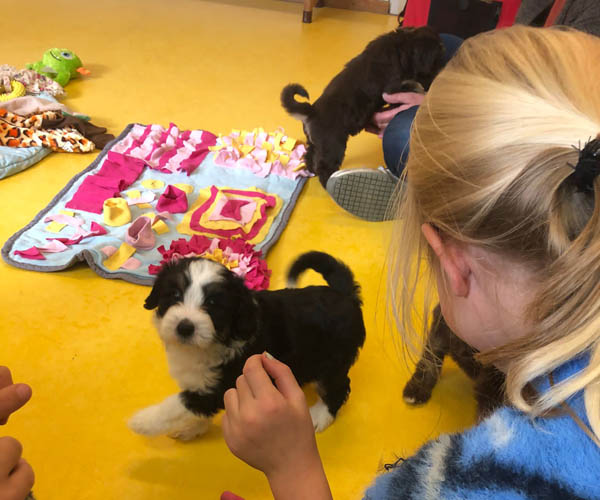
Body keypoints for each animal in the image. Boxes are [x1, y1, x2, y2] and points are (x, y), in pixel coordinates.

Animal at [128, 251, 366, 440]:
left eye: (213, 304)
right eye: (175, 294)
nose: (185, 327)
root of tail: (346, 295)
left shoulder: (220, 385)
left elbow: (178, 405)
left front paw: (142, 421)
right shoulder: (202, 383)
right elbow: (197, 410)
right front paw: (191, 429)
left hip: (332, 360)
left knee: (337, 387)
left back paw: (320, 416)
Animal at [280, 26, 445, 186]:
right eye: (437, 61)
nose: (442, 77)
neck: (402, 47)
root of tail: (312, 111)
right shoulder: (393, 88)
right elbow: (412, 85)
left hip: (316, 143)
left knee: (309, 157)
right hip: (333, 145)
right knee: (324, 167)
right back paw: (330, 183)